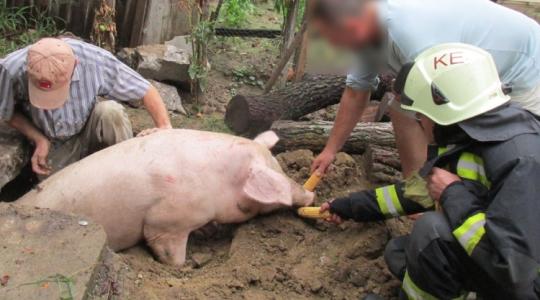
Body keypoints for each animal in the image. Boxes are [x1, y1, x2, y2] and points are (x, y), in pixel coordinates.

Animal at [17, 130, 316, 266]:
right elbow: (171, 254)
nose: (311, 194)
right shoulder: (167, 220)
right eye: (274, 174)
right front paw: (187, 264)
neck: (218, 182)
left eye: (278, 165)